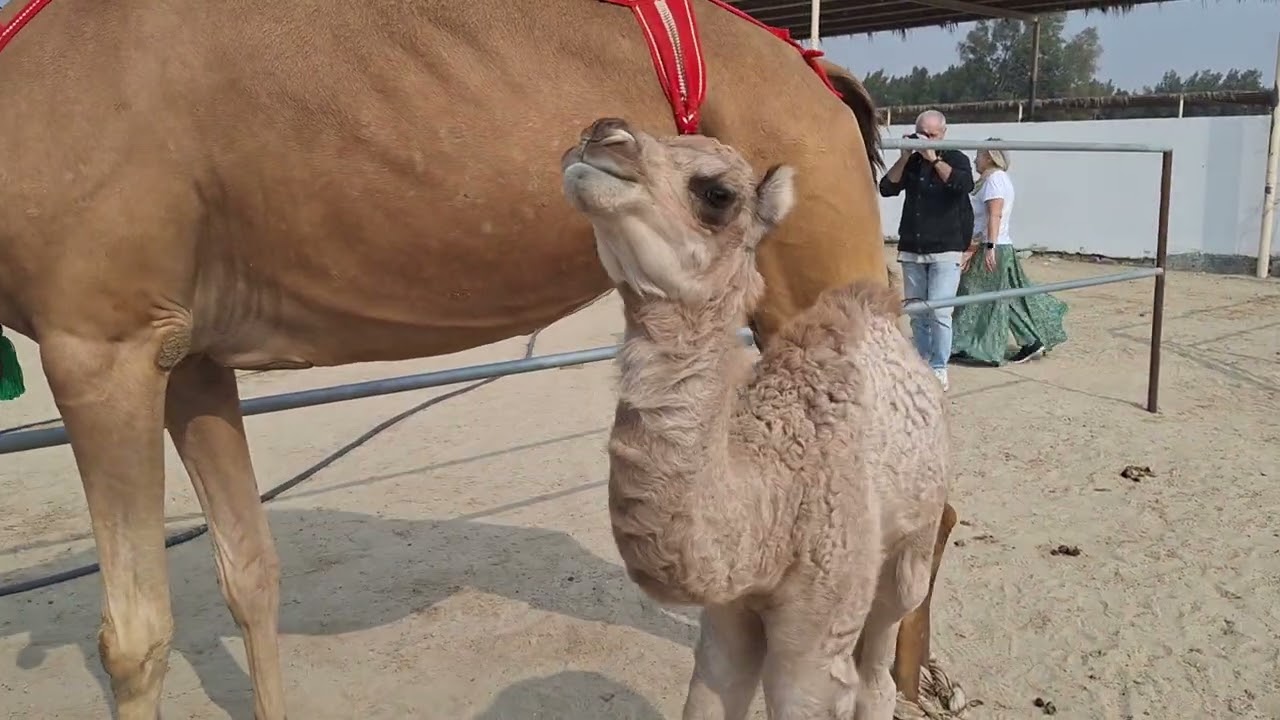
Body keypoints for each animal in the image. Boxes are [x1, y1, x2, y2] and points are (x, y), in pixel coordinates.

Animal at [560, 116, 952, 719]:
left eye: (718, 194)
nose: (603, 137)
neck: (772, 499)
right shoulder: (727, 621)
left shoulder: (812, 645)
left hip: (913, 534)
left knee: (884, 651)